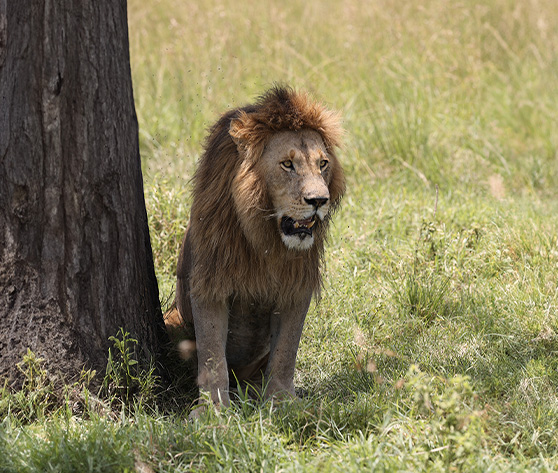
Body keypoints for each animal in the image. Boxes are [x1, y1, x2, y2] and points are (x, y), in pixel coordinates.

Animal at [164, 85, 346, 410]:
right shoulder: (209, 283)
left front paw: (281, 400)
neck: (265, 235)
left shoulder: (296, 285)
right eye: (288, 164)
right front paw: (213, 410)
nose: (319, 201)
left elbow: (286, 351)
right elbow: (212, 355)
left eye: (323, 164)